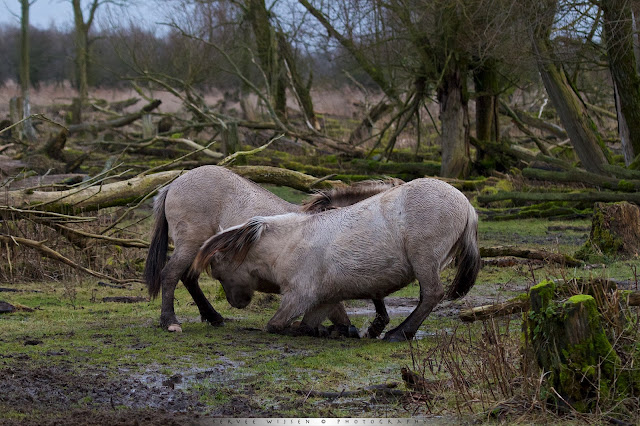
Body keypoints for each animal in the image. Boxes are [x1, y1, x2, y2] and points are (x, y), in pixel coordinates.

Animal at [144, 165, 400, 334]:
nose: (379, 325)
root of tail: (174, 183)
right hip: (190, 245)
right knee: (171, 275)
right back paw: (170, 321)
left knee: (188, 278)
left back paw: (213, 317)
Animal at [190, 178, 480, 342]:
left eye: (217, 272)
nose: (236, 303)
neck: (289, 243)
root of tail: (466, 204)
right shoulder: (324, 299)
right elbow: (309, 324)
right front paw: (338, 331)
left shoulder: (299, 296)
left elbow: (277, 325)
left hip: (424, 260)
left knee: (432, 295)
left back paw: (399, 333)